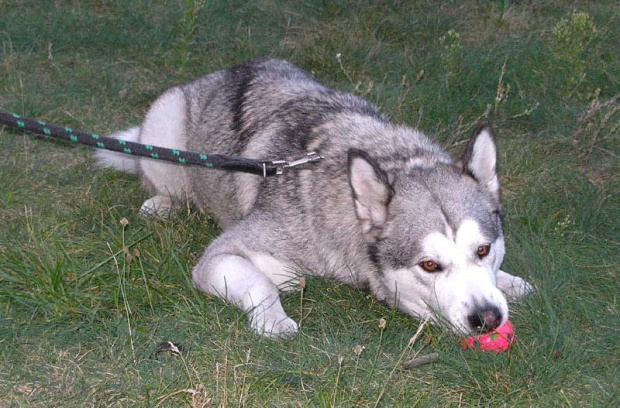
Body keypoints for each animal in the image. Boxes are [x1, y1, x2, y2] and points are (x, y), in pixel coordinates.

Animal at [97, 57, 532, 338]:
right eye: (429, 265)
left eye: (483, 250)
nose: (488, 318)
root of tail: (220, 73)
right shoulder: (220, 255)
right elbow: (264, 283)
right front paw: (274, 318)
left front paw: (509, 281)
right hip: (165, 124)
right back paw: (163, 203)